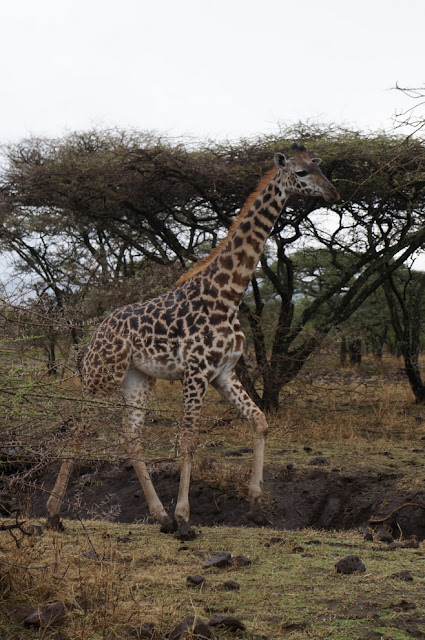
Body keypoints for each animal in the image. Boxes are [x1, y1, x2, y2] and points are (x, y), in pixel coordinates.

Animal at [45, 144, 338, 536]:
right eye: (302, 173)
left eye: (320, 168)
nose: (334, 193)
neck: (228, 296)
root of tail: (96, 332)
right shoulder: (195, 372)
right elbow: (188, 439)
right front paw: (185, 516)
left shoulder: (224, 373)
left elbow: (259, 420)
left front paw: (256, 506)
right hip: (101, 375)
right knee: (77, 429)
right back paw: (53, 513)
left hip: (138, 378)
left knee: (130, 437)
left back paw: (159, 516)